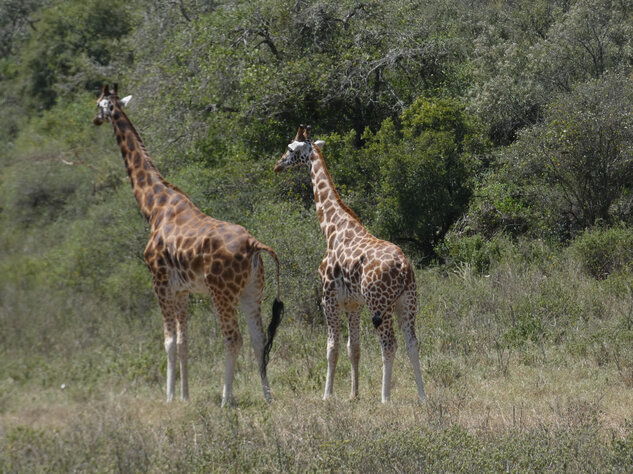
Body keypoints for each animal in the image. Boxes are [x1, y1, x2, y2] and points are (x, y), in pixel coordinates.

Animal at [92, 83, 282, 406]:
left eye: (97, 104)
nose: (94, 121)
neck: (154, 206)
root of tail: (254, 244)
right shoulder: (182, 289)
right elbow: (184, 342)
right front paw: (184, 396)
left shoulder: (159, 281)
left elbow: (168, 341)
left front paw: (169, 397)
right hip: (252, 290)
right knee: (259, 339)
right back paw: (267, 396)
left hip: (222, 292)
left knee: (233, 338)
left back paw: (226, 399)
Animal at [274, 124, 422, 402]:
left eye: (290, 149)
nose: (277, 165)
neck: (331, 228)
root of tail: (405, 268)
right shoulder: (353, 304)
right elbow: (354, 347)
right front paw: (354, 394)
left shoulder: (328, 299)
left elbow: (331, 348)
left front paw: (327, 395)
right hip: (407, 303)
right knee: (412, 344)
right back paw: (422, 396)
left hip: (380, 305)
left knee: (389, 345)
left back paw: (385, 399)